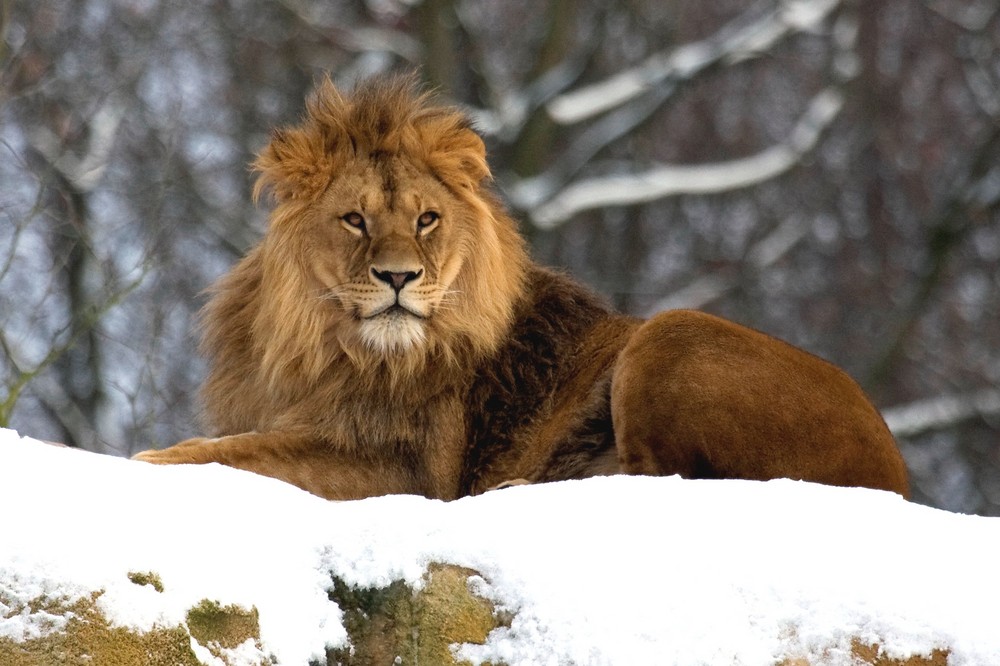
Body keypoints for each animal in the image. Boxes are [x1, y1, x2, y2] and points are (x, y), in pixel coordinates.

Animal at [135, 74, 916, 498]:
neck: (328, 344)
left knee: (664, 480)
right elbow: (240, 443)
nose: (398, 277)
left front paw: (148, 461)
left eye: (426, 219)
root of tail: (896, 476)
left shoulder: (399, 468)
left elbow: (241, 454)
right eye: (354, 220)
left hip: (672, 331)